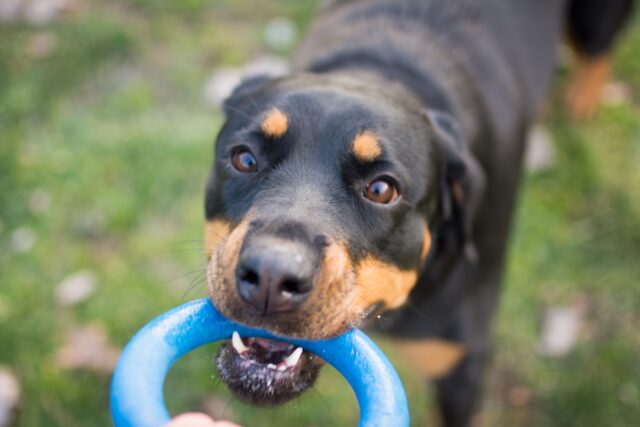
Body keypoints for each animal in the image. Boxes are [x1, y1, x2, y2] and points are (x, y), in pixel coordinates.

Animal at [204, 1, 636, 426]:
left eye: (381, 190)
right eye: (244, 159)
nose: (272, 276)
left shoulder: (461, 366)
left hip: (593, 21)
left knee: (596, 50)